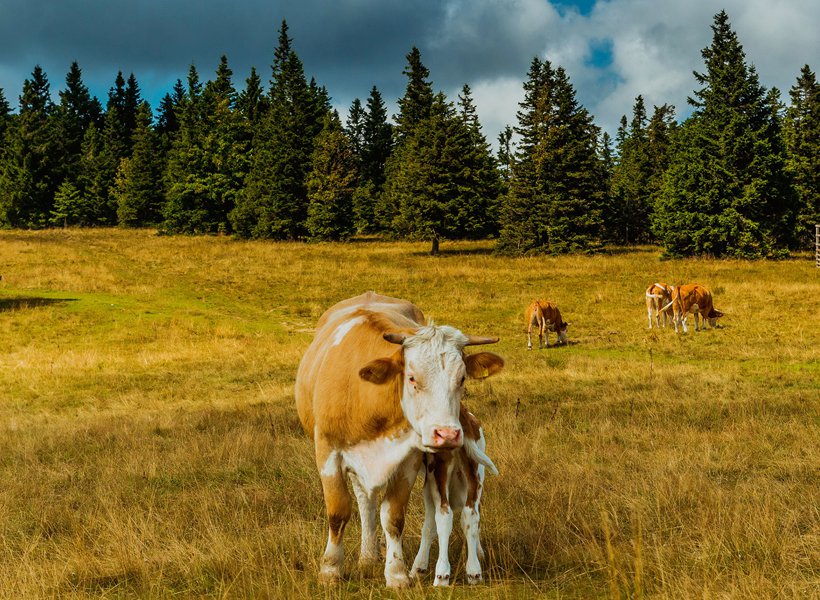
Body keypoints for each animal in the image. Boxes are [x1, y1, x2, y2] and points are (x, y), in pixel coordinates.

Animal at [410, 404, 500, 584]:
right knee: (470, 515)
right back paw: (474, 572)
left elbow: (429, 526)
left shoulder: (428, 487)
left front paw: (418, 567)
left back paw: (442, 575)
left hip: (438, 472)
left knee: (444, 516)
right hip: (475, 474)